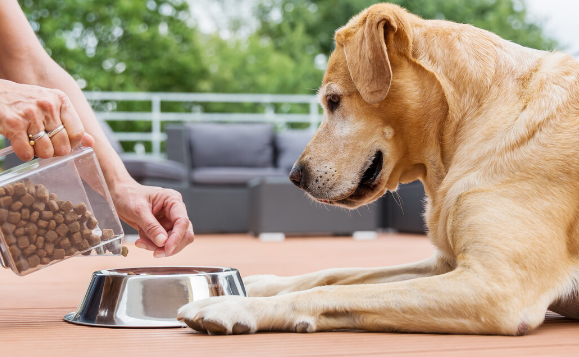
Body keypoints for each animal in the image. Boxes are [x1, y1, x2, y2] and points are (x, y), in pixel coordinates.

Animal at [179, 3, 579, 334]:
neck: (472, 119)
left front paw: (233, 306)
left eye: (333, 100)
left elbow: (331, 292)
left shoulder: (496, 287)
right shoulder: (446, 264)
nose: (294, 176)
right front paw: (259, 285)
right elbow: (334, 274)